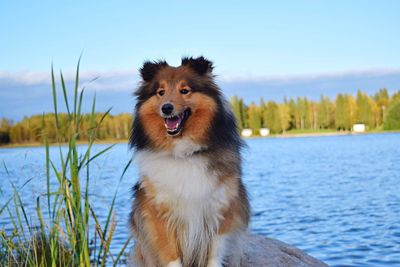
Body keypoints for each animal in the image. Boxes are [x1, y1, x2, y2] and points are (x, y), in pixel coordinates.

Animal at [130, 57, 250, 267]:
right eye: (160, 92)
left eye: (184, 90)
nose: (166, 108)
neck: (184, 153)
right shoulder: (159, 215)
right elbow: (171, 255)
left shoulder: (220, 209)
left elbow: (215, 254)